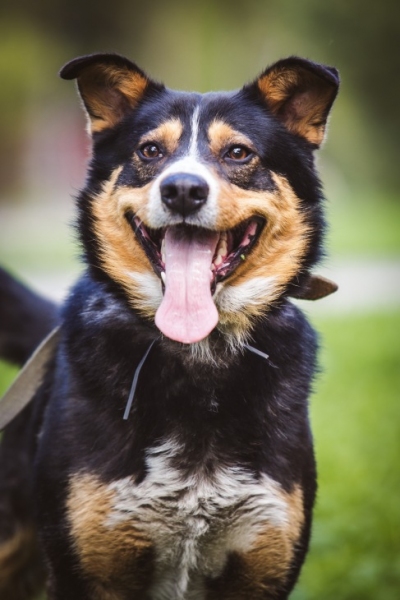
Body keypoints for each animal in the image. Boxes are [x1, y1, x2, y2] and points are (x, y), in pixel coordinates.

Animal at [0, 53, 339, 599]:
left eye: (239, 152)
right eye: (151, 150)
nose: (182, 189)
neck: (199, 357)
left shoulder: (263, 565)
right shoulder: (86, 570)